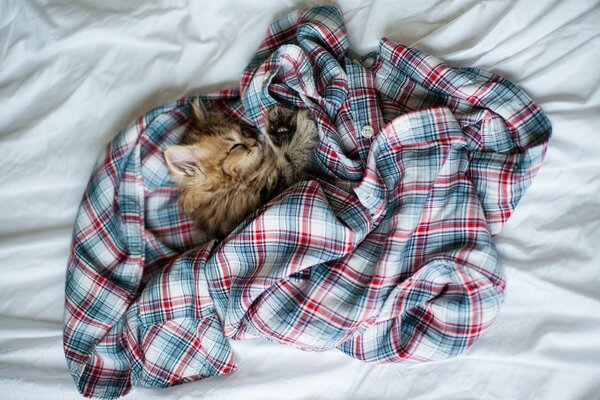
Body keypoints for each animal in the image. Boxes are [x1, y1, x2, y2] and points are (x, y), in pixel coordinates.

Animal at [159, 101, 318, 238]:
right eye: (236, 146)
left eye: (243, 132)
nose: (255, 141)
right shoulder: (268, 190)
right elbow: (289, 159)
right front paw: (304, 127)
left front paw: (278, 120)